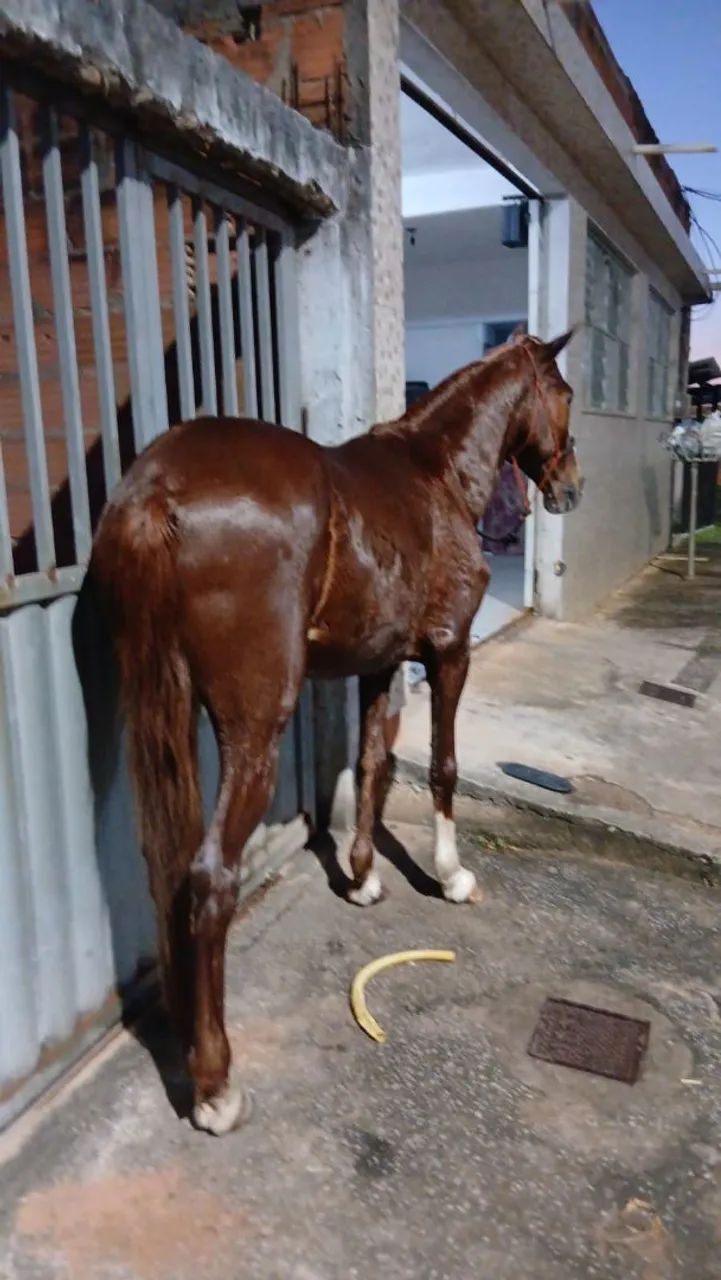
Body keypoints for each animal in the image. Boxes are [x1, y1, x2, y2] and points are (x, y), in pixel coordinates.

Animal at [90, 328, 583, 1135]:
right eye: (563, 394)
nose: (570, 486)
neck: (435, 475)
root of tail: (161, 487)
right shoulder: (449, 653)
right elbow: (441, 766)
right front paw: (450, 876)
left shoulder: (381, 664)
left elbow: (373, 763)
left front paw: (361, 878)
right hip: (254, 730)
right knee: (211, 877)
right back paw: (217, 1085)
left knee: (167, 865)